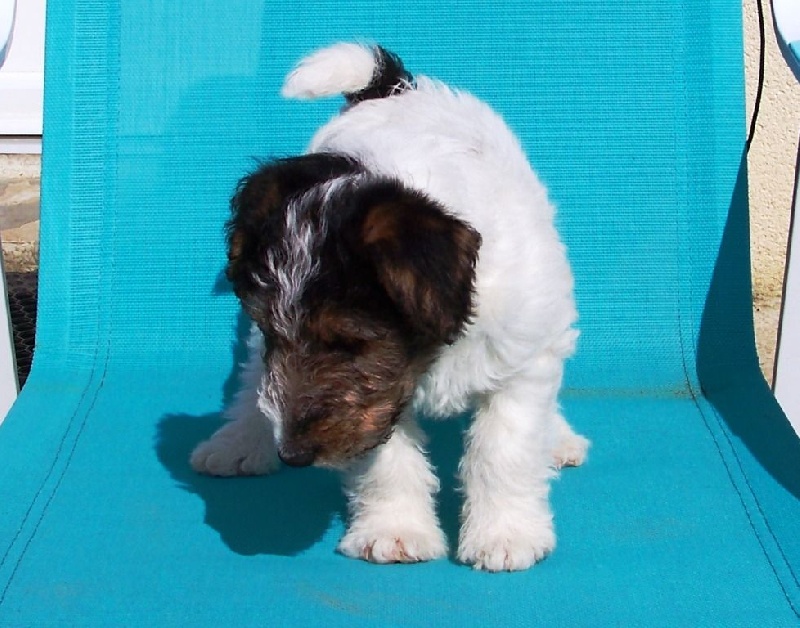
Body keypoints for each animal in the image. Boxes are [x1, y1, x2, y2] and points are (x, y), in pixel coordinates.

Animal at [191, 43, 589, 571]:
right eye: (276, 331)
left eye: (348, 341)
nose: (294, 454)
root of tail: (393, 88)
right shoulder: (374, 404)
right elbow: (387, 464)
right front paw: (395, 531)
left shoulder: (519, 362)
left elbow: (502, 452)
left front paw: (505, 535)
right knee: (253, 377)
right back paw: (236, 443)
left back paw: (558, 438)